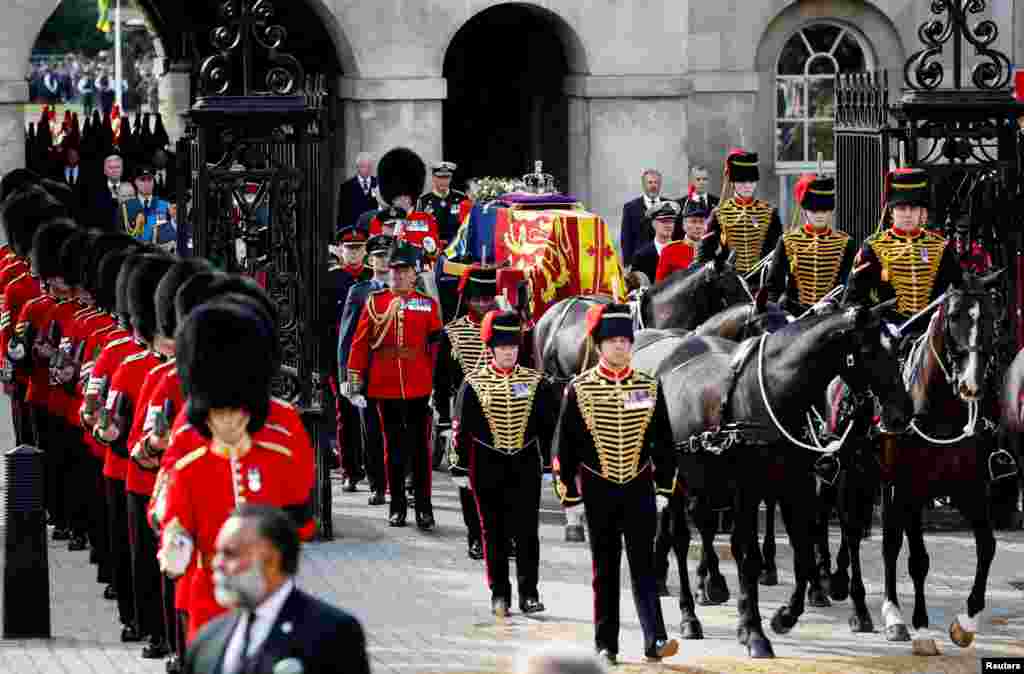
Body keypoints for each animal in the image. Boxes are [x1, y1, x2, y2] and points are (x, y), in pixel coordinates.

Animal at [638, 301, 913, 655]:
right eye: (867, 351)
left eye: (896, 349)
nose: (902, 413)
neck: (774, 393)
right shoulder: (746, 491)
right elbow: (748, 557)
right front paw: (753, 631)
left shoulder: (795, 487)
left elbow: (803, 553)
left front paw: (784, 616)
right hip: (674, 482)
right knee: (680, 540)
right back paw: (689, 615)